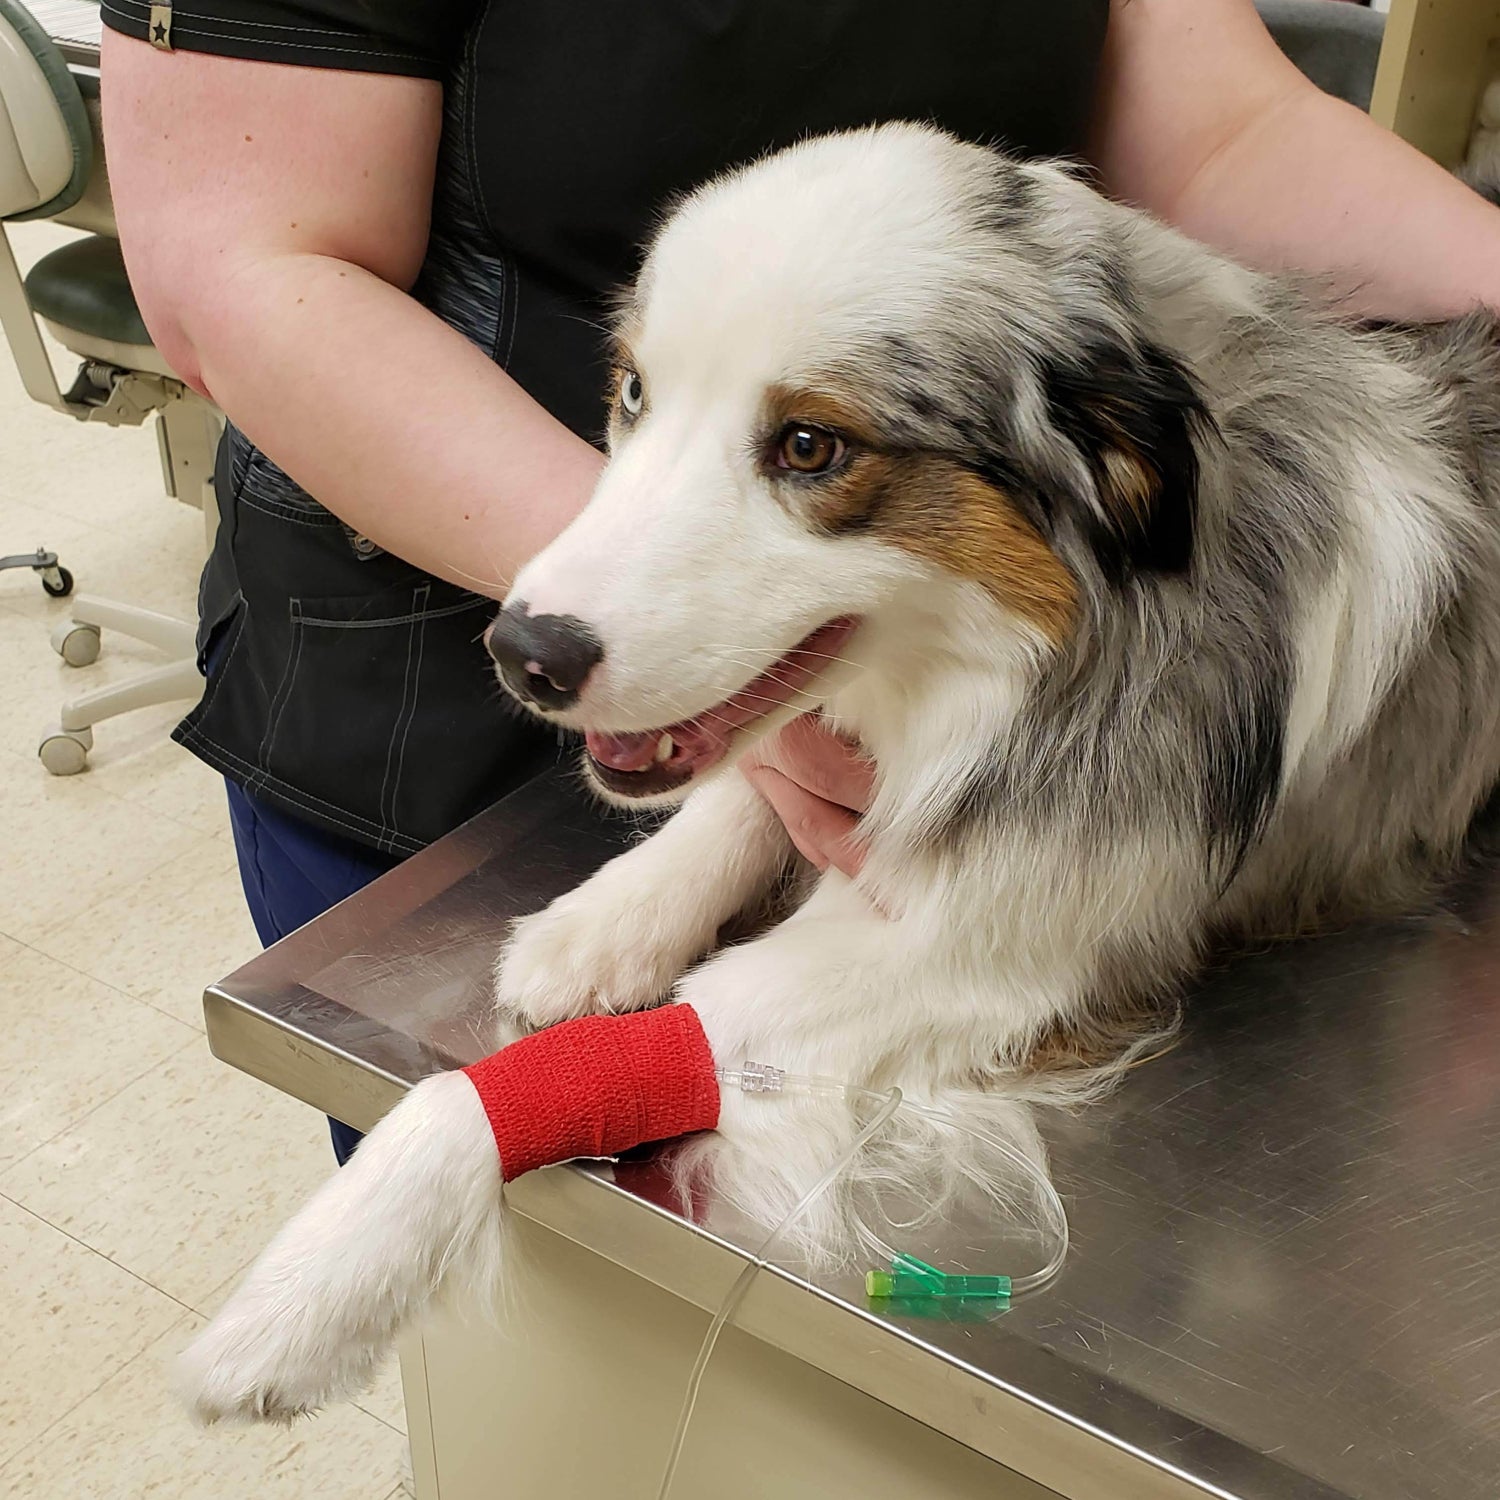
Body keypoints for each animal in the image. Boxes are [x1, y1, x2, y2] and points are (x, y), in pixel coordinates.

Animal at [178, 122, 1500, 1423]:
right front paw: (606, 919)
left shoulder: (1000, 949)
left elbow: (582, 1054)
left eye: (812, 445)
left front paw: (313, 1287)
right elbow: (743, 794)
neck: (1035, 654)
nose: (526, 652)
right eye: (635, 391)